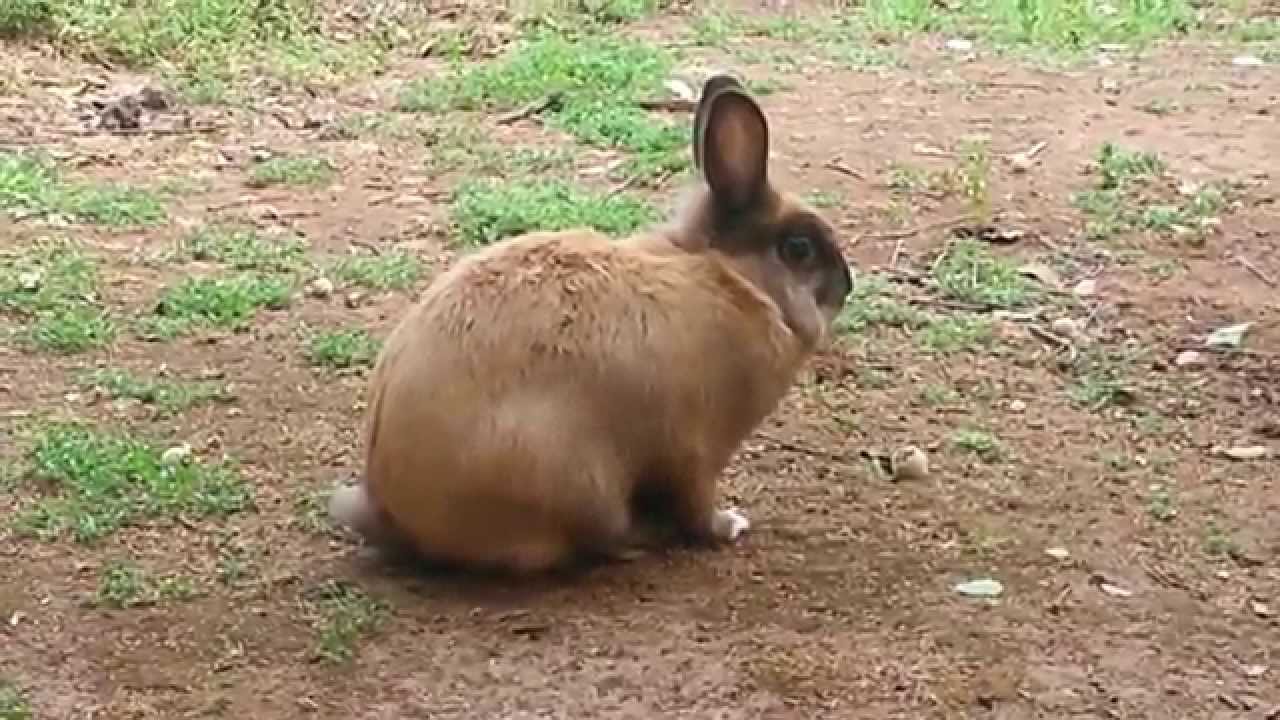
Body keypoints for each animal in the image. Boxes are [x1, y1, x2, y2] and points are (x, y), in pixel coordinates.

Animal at [328, 72, 854, 575]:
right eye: (799, 249)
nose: (846, 286)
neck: (736, 278)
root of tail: (396, 515)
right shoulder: (696, 453)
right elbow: (697, 509)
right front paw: (730, 525)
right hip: (583, 485)